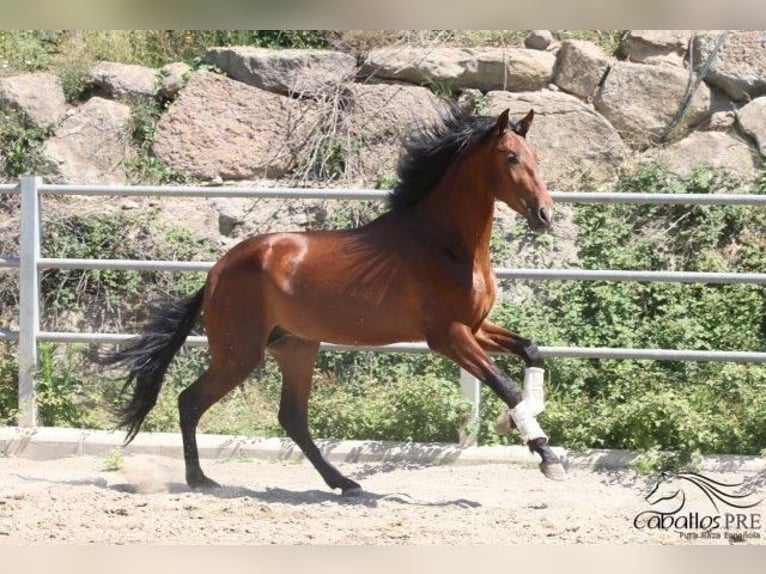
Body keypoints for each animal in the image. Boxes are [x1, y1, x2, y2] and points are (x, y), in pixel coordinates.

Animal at [97, 106, 564, 498]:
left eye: (536, 155)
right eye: (510, 157)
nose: (545, 215)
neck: (444, 245)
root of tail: (217, 270)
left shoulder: (476, 328)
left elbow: (532, 352)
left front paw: (517, 423)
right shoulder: (448, 337)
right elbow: (504, 384)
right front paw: (547, 456)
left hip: (296, 347)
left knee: (292, 418)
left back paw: (344, 482)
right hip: (239, 353)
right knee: (190, 401)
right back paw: (201, 480)